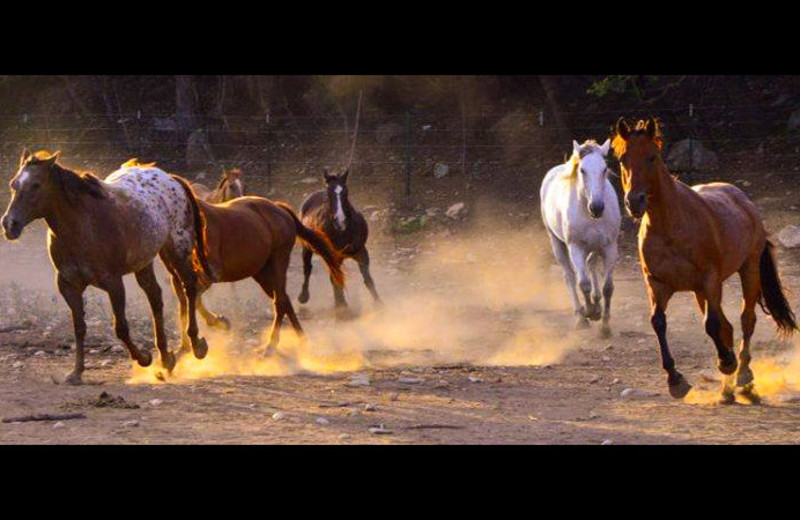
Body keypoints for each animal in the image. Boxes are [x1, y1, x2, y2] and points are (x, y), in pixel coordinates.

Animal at [0, 152, 211, 384]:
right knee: (156, 297)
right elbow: (79, 327)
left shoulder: (113, 282)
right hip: (145, 261)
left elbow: (121, 328)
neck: (82, 226)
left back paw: (197, 346)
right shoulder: (68, 285)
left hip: (177, 250)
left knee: (189, 288)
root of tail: (170, 178)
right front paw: (75, 373)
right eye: (13, 184)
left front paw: (144, 358)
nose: (9, 224)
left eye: (36, 185)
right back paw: (166, 359)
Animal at [173, 194, 342, 358]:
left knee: (280, 302)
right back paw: (302, 341)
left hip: (278, 262)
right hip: (261, 273)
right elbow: (186, 301)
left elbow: (192, 298)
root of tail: (280, 209)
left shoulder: (210, 274)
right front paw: (182, 348)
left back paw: (270, 346)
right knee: (284, 299)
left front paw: (208, 332)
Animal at [296, 169, 382, 314]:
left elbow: (368, 279)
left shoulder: (361, 251)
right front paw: (341, 305)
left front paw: (379, 304)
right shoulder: (332, 256)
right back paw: (304, 296)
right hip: (307, 248)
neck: (343, 231)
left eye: (345, 191)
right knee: (308, 269)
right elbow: (335, 279)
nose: (340, 220)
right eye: (329, 192)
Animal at [540, 137, 620, 338]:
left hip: (594, 247)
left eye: (604, 169)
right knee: (569, 276)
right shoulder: (575, 247)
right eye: (582, 170)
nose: (597, 207)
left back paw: (596, 304)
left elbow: (608, 288)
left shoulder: (610, 247)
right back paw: (580, 316)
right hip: (557, 242)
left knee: (590, 264)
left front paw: (604, 326)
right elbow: (582, 283)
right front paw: (590, 312)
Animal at [612, 118, 792, 402]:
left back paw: (742, 375)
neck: (670, 227)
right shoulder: (657, 284)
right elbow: (658, 323)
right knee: (728, 328)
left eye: (652, 157)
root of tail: (743, 200)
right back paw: (728, 390)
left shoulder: (710, 279)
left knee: (745, 320)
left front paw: (726, 363)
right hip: (700, 292)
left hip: (747, 271)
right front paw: (675, 380)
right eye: (622, 159)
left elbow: (712, 324)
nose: (634, 202)